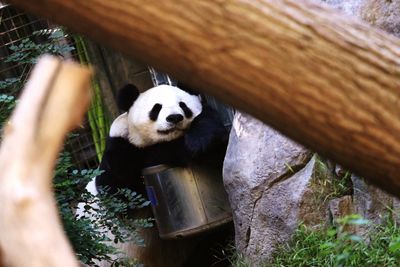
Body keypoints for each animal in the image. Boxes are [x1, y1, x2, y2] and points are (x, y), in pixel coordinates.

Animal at [84, 84, 231, 267]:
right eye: (156, 108)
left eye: (183, 105)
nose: (174, 117)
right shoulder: (119, 150)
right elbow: (120, 195)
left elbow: (218, 146)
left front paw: (199, 140)